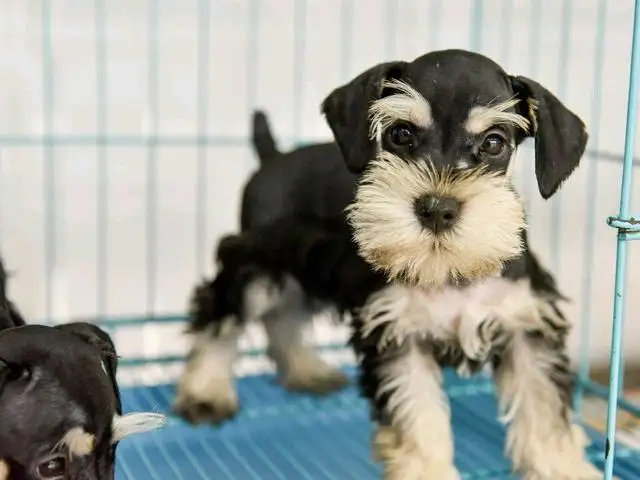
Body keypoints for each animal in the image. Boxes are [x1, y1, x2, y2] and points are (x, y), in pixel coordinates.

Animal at [174, 109, 356, 424]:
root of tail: (273, 157)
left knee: (282, 316)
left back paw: (307, 371)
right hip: (261, 254)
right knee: (225, 314)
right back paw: (206, 394)